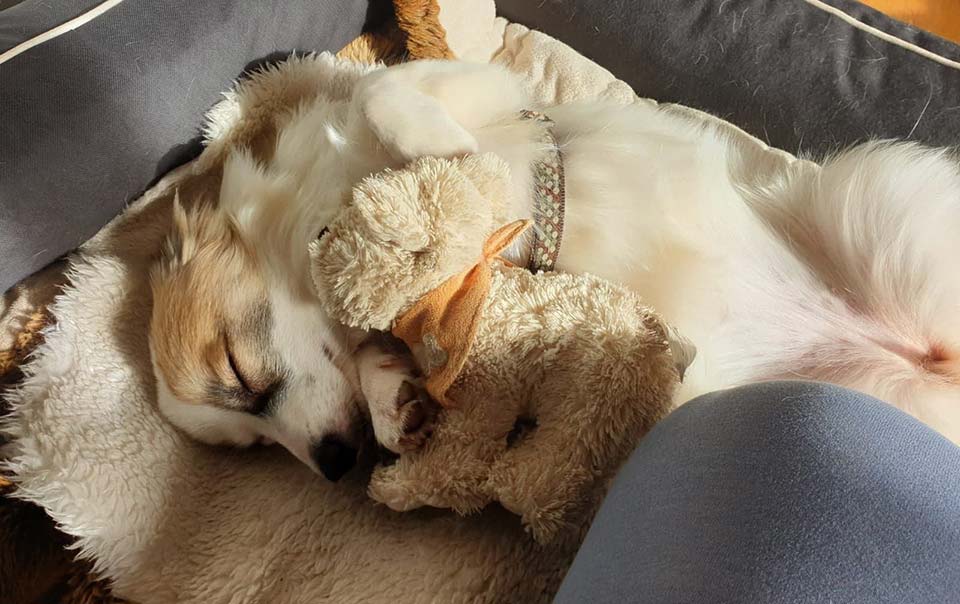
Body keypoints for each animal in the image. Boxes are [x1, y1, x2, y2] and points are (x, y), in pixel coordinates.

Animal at [148, 59, 960, 478]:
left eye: (240, 373)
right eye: (256, 447)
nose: (336, 463)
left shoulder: (478, 87)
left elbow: (383, 91)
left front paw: (437, 147)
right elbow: (383, 365)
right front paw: (394, 408)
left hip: (877, 204)